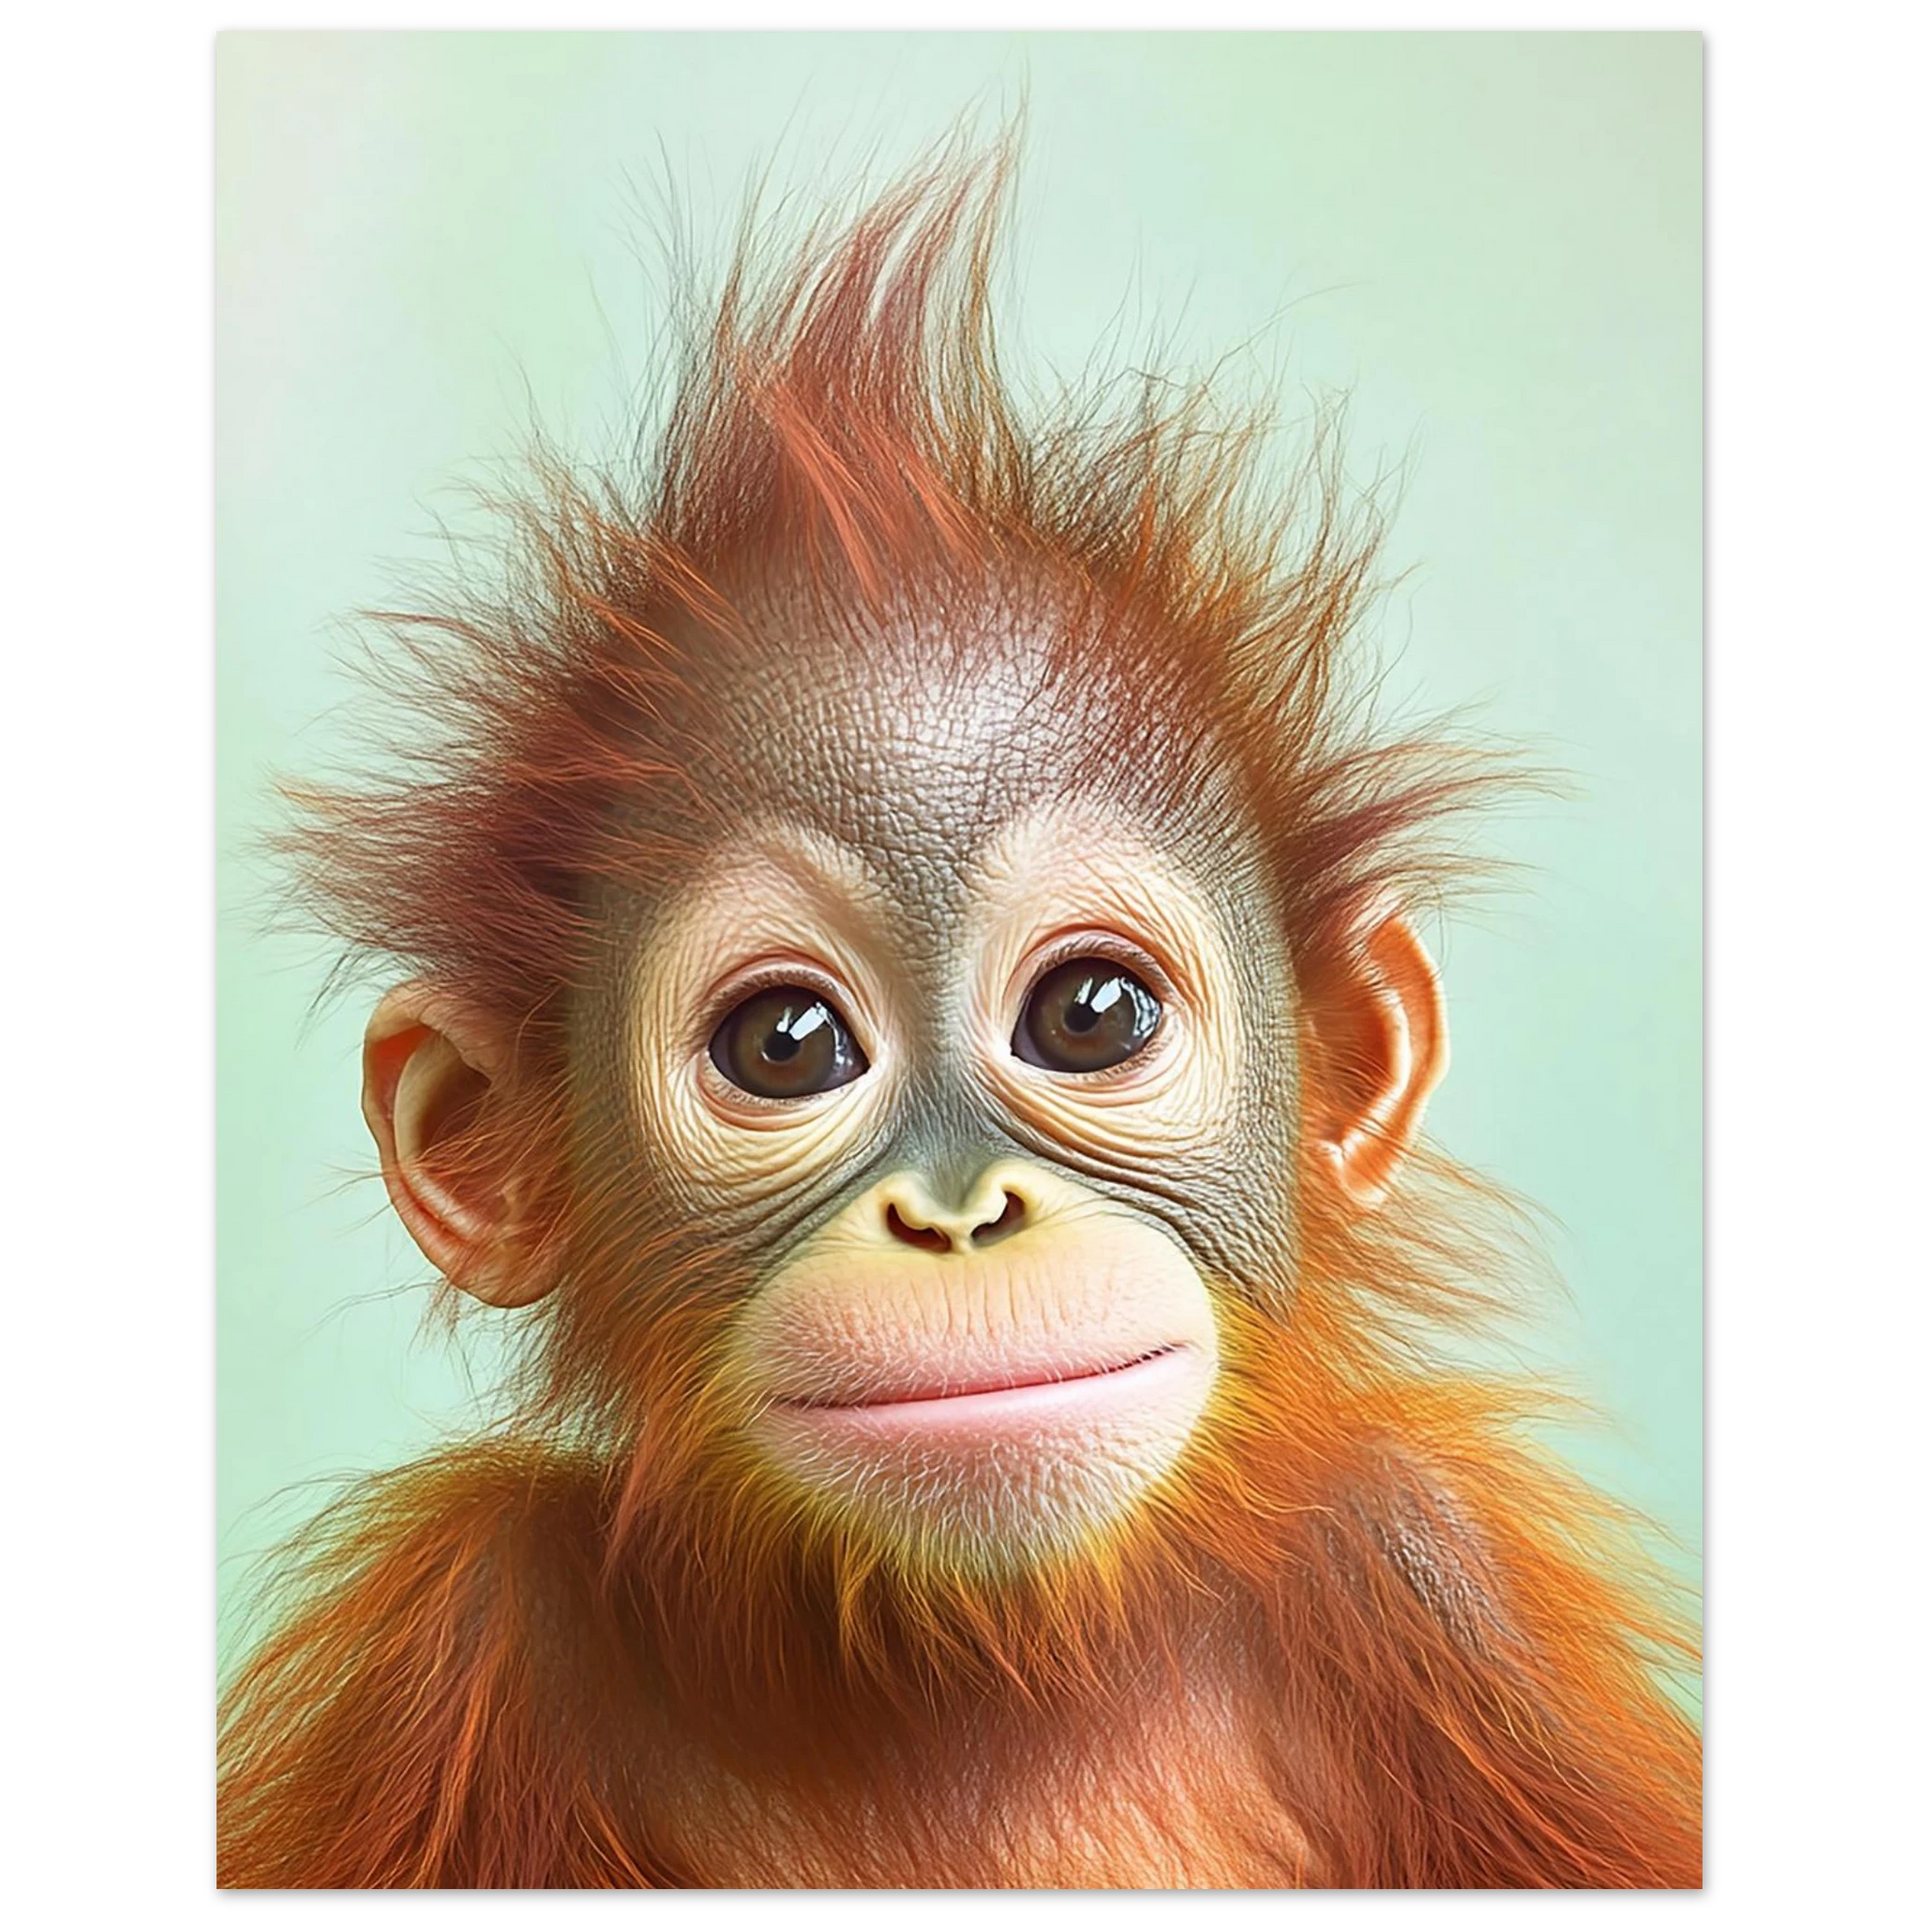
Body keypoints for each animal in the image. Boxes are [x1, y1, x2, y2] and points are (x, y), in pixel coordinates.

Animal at [215, 141, 1703, 1892]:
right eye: (785, 1047)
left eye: (1092, 1014)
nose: (961, 1217)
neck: (982, 1653)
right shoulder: (461, 1628)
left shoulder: (1438, 1582)